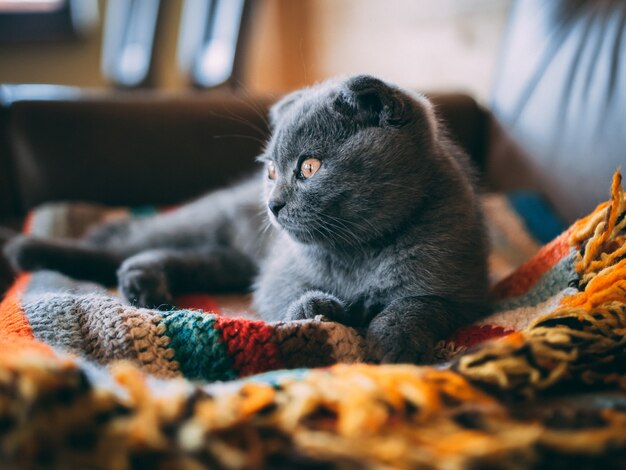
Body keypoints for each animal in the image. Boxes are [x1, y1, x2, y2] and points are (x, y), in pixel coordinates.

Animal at [7, 76, 490, 364]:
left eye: (309, 167)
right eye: (272, 171)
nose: (273, 204)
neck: (359, 253)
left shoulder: (458, 290)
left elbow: (416, 306)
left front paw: (392, 342)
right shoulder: (279, 275)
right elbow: (288, 298)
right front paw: (319, 309)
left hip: (230, 259)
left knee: (173, 256)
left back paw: (144, 283)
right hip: (206, 224)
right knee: (127, 240)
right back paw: (30, 249)